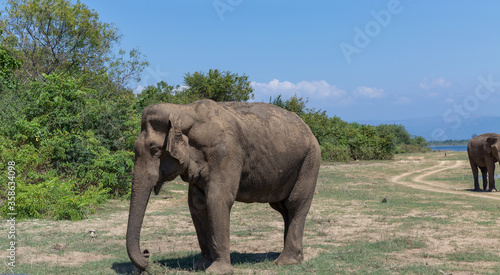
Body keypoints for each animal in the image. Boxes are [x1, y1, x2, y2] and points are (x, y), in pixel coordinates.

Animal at [125, 99, 320, 274]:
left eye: (154, 150)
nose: (147, 255)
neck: (183, 110)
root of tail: (309, 129)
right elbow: (197, 204)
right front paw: (201, 266)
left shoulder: (226, 153)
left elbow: (217, 199)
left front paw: (217, 271)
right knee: (283, 208)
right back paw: (291, 257)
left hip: (309, 162)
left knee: (295, 204)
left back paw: (285, 262)